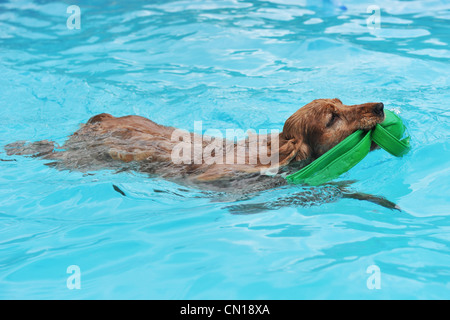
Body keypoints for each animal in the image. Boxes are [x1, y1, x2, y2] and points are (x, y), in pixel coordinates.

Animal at [5, 97, 384, 192]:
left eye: (343, 102)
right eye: (332, 118)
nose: (380, 107)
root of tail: (100, 117)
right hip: (82, 158)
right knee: (50, 151)